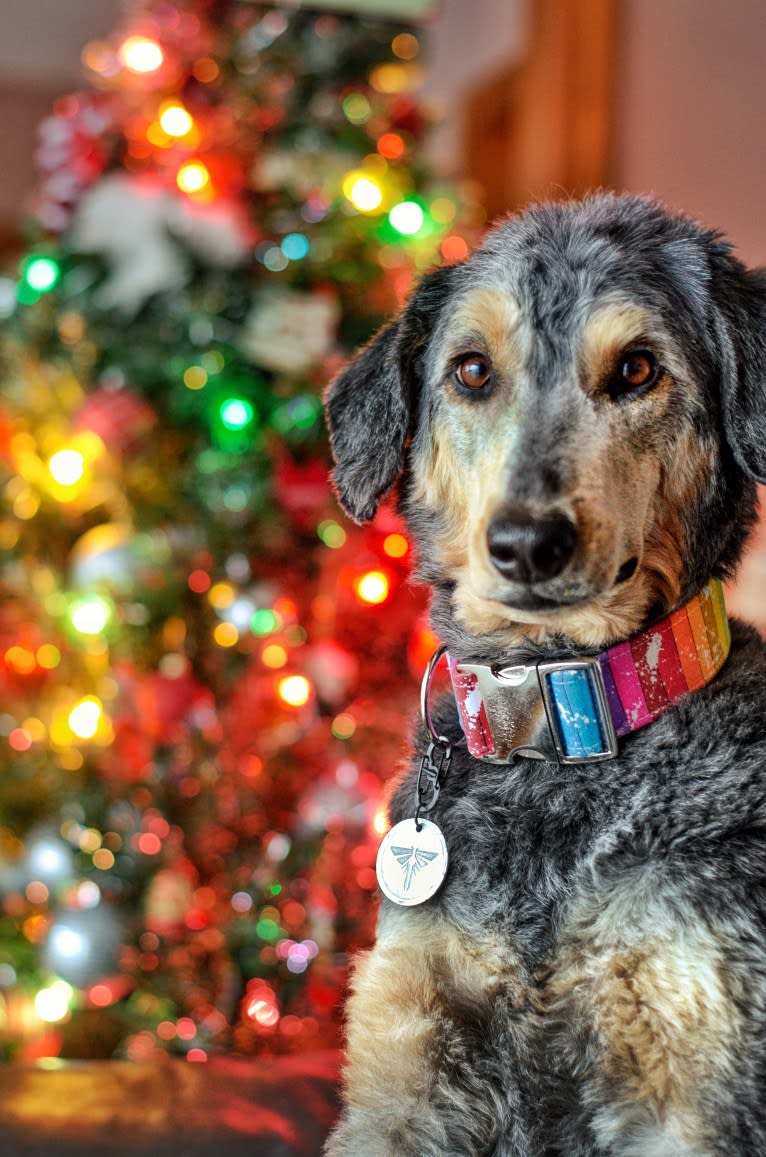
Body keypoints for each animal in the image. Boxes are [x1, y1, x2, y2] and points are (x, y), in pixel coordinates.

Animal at [321, 194, 766, 1152]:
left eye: (637, 368)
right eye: (471, 370)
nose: (527, 541)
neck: (553, 722)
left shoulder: (697, 1072)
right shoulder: (400, 1073)